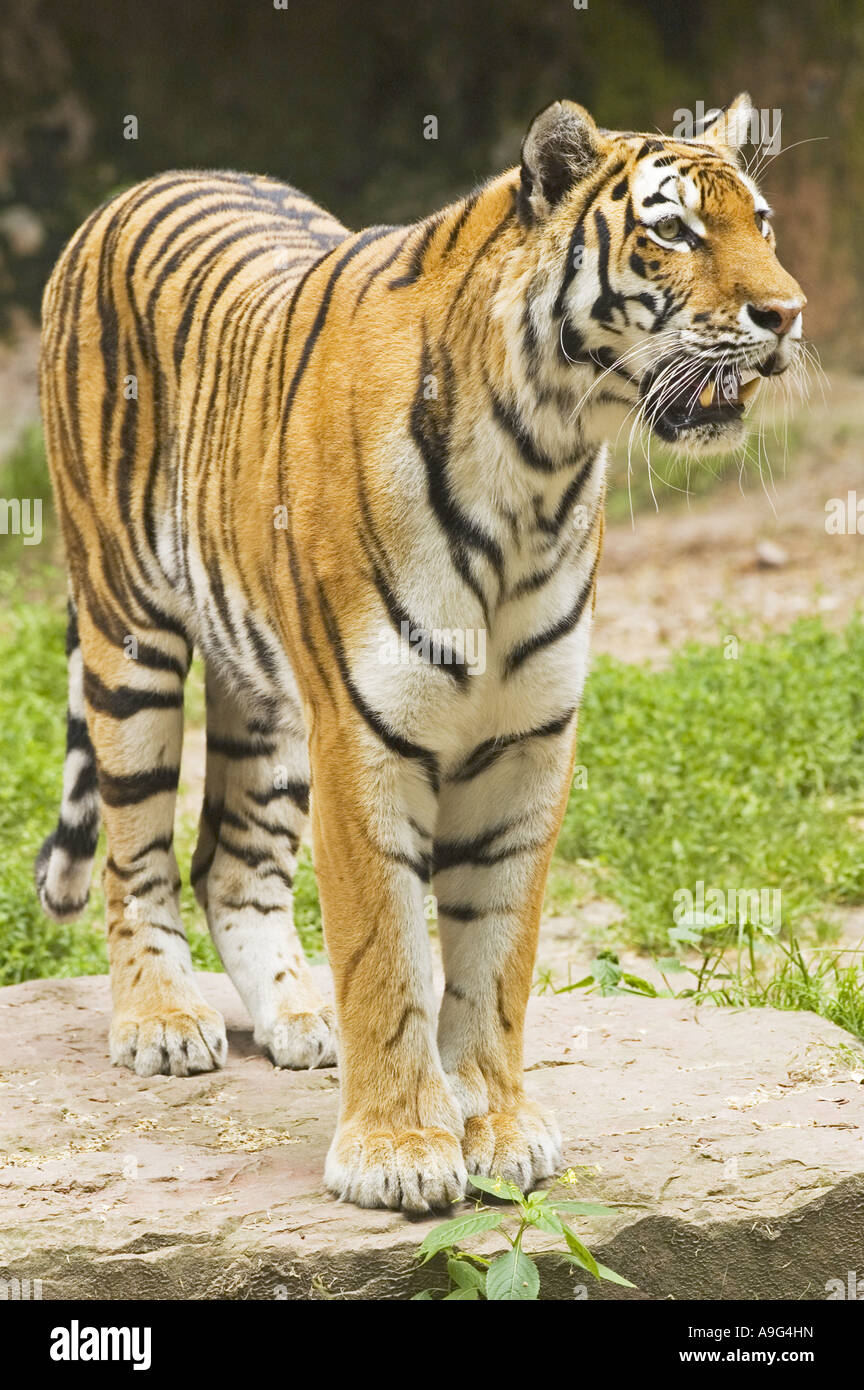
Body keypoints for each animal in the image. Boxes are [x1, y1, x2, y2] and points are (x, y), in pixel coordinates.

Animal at [36, 93, 805, 1213]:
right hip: (132, 635)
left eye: (763, 224)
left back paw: (298, 1015)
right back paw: (162, 1023)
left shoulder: (527, 739)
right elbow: (387, 950)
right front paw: (398, 1149)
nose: (787, 314)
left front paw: (494, 1123)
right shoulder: (366, 732)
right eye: (672, 232)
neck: (543, 463)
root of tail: (142, 184)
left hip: (269, 693)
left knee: (232, 860)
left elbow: (496, 954)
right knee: (134, 854)